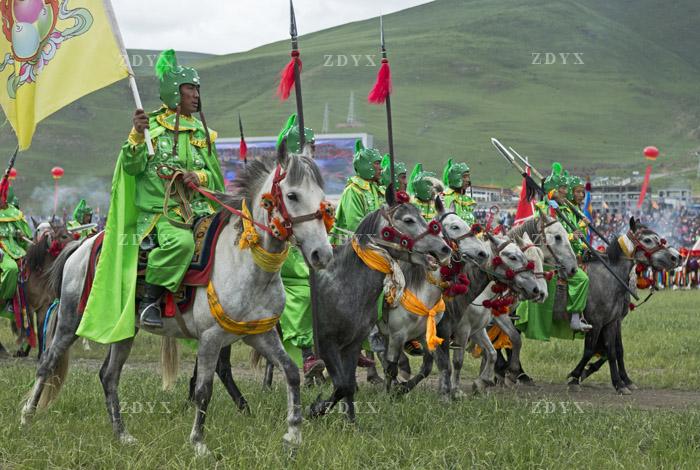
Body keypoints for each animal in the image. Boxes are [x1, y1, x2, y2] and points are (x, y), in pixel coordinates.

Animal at [19, 144, 330, 456]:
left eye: (322, 197)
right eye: (292, 195)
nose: (322, 254)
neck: (245, 262)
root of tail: (82, 244)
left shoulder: (259, 334)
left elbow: (290, 372)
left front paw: (293, 435)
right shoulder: (211, 338)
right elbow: (204, 390)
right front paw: (199, 444)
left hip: (123, 329)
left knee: (109, 376)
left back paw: (122, 435)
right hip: (71, 320)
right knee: (47, 362)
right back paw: (26, 418)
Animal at [308, 191, 452, 422]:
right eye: (408, 220)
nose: (444, 249)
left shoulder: (358, 342)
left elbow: (431, 365)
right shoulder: (329, 341)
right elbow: (349, 382)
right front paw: (317, 408)